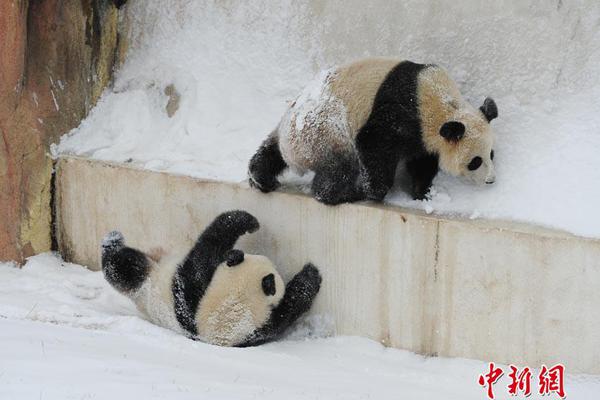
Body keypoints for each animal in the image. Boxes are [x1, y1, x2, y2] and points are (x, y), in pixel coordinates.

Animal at [101, 209, 322, 346]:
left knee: (123, 269)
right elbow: (206, 251)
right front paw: (246, 221)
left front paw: (309, 277)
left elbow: (285, 314)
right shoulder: (192, 296)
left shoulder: (256, 330)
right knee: (122, 267)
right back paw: (112, 240)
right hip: (148, 282)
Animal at [246, 57, 500, 205]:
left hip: (290, 128)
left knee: (271, 151)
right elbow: (374, 145)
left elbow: (422, 162)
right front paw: (374, 190)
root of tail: (292, 153)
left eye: (492, 154)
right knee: (338, 169)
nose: (491, 180)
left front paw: (423, 193)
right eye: (475, 161)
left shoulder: (424, 136)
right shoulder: (400, 112)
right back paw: (344, 193)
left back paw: (260, 178)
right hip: (324, 136)